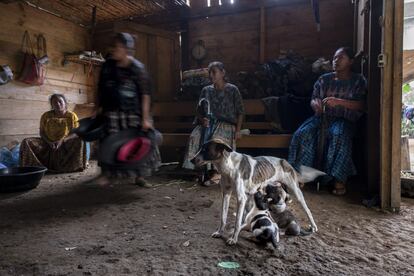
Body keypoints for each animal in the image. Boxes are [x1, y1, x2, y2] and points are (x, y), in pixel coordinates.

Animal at [191, 140, 324, 246]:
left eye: (205, 149)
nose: (191, 160)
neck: (228, 167)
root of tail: (285, 161)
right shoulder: (226, 195)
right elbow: (223, 218)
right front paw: (219, 232)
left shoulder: (241, 198)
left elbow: (237, 222)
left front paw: (234, 239)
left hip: (296, 192)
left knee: (307, 210)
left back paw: (313, 226)